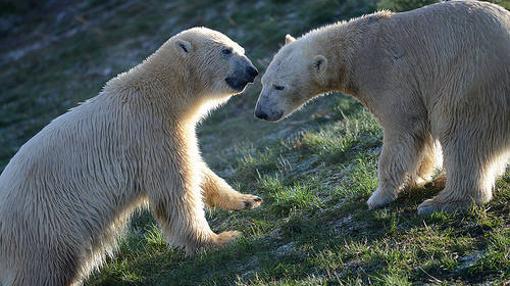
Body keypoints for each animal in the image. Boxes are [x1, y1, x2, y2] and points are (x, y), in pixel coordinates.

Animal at [0, 27, 260, 286]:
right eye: (226, 50)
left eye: (241, 48)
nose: (253, 71)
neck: (158, 93)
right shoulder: (150, 133)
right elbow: (176, 191)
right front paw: (221, 239)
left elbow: (197, 171)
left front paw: (247, 199)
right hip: (42, 221)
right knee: (43, 268)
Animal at [256, 0, 510, 214]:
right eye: (263, 81)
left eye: (279, 86)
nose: (261, 112)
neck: (353, 49)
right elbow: (422, 138)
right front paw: (419, 177)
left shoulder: (388, 72)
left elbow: (403, 129)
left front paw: (379, 197)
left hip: (472, 76)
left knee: (459, 131)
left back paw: (442, 202)